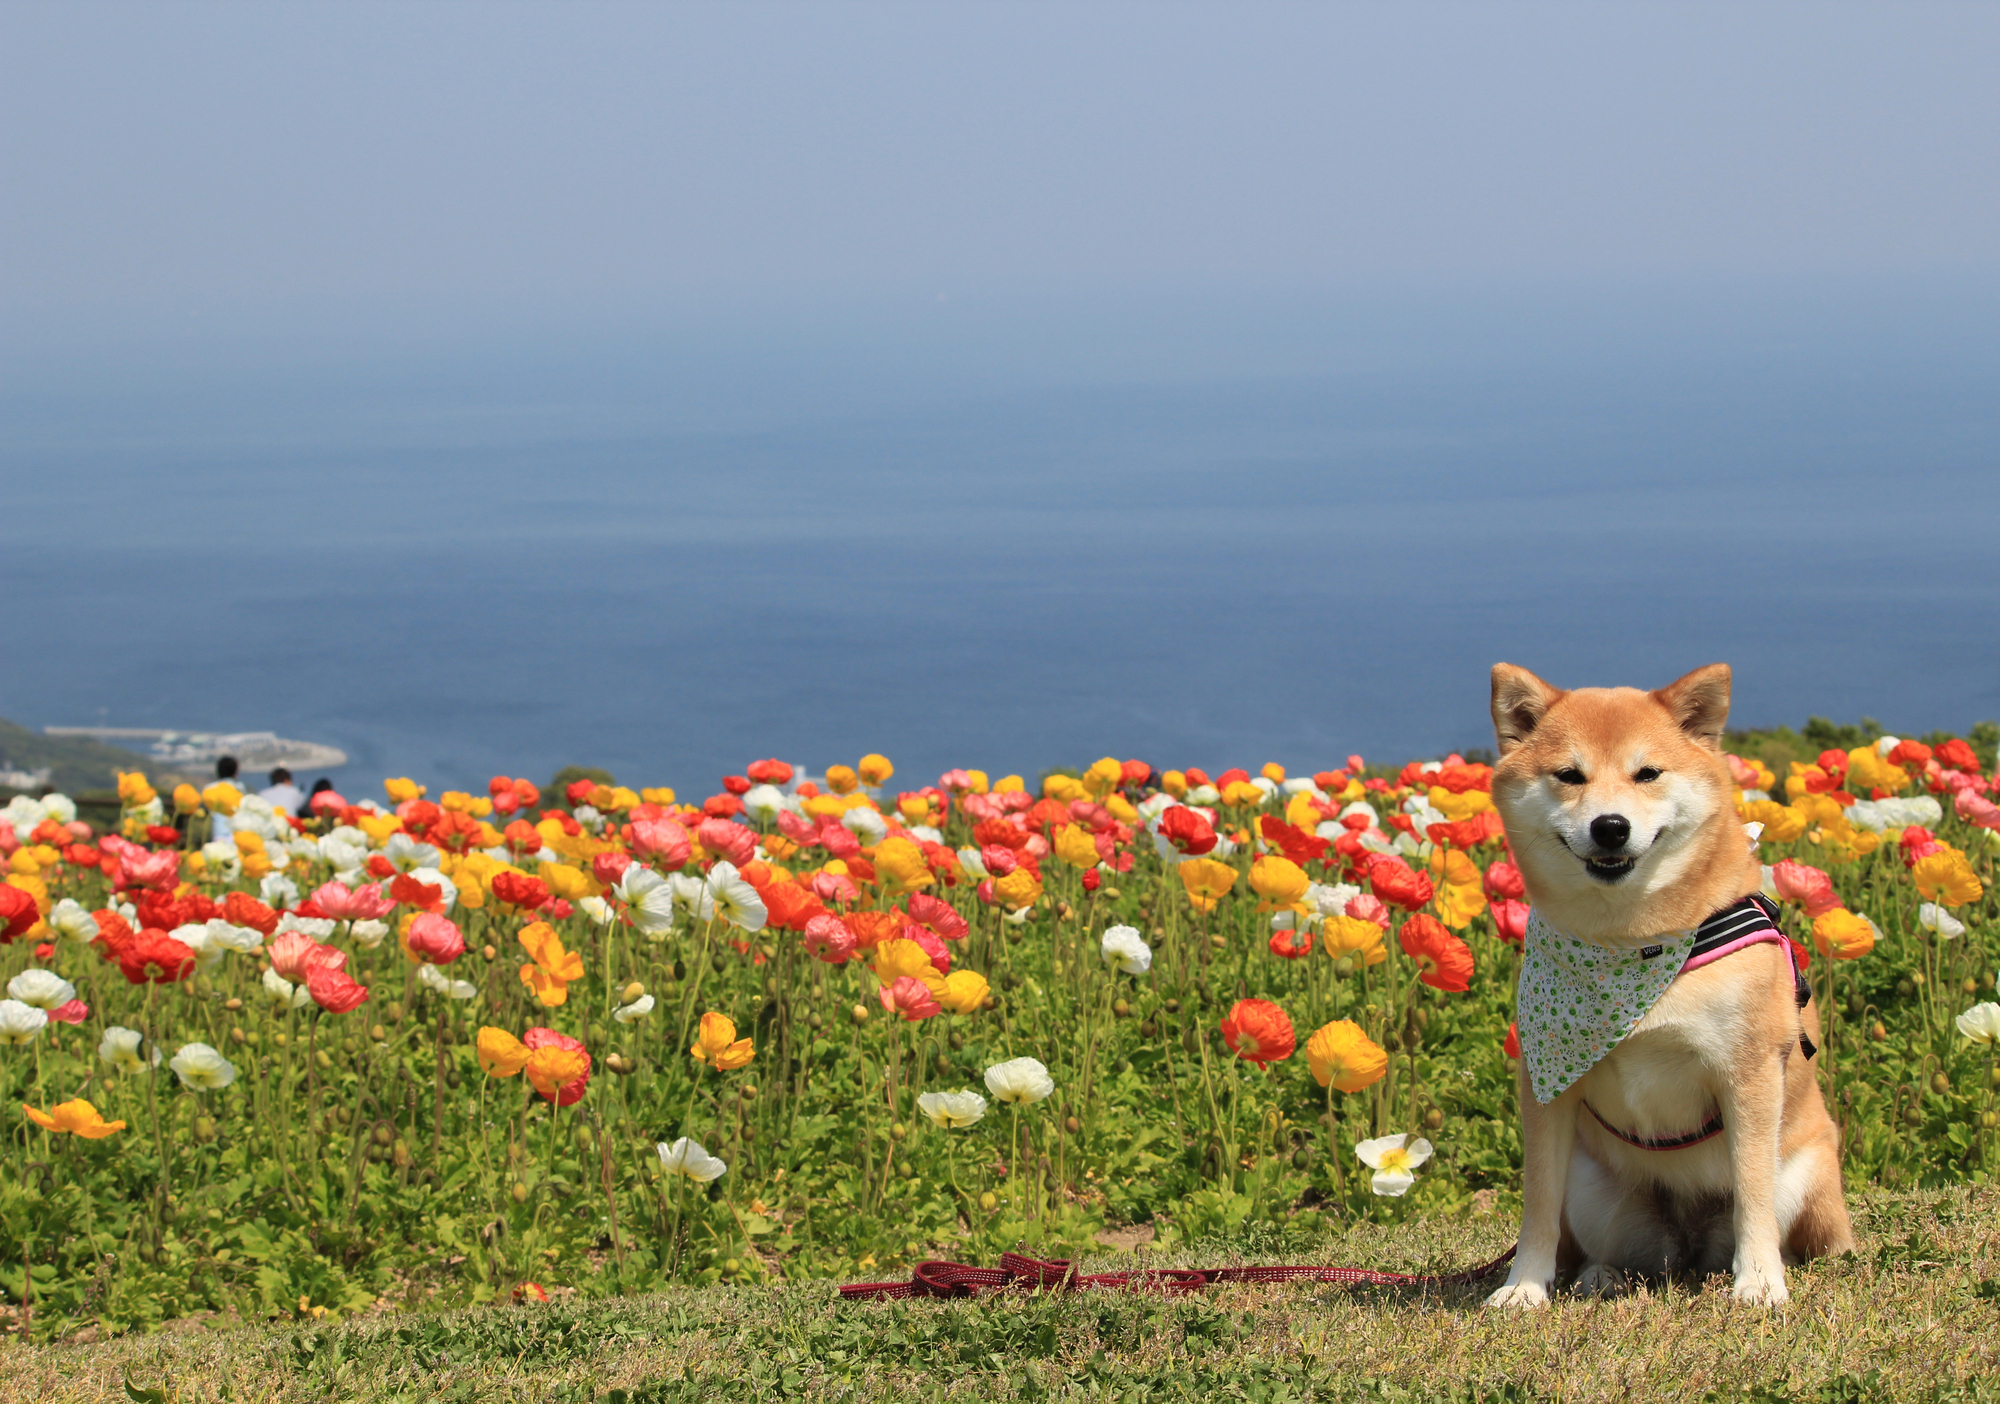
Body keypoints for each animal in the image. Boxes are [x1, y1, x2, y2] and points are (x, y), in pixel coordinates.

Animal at [1480, 664, 1848, 1312]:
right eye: (1569, 775)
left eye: (1647, 773)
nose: (1610, 826)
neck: (1629, 946)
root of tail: (1691, 1245)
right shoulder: (1545, 1085)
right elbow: (1538, 1202)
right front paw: (1523, 1286)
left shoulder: (1750, 1071)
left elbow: (1752, 1191)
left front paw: (1760, 1281)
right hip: (1595, 1190)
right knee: (1622, 1255)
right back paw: (1602, 1275)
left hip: (1806, 1175)